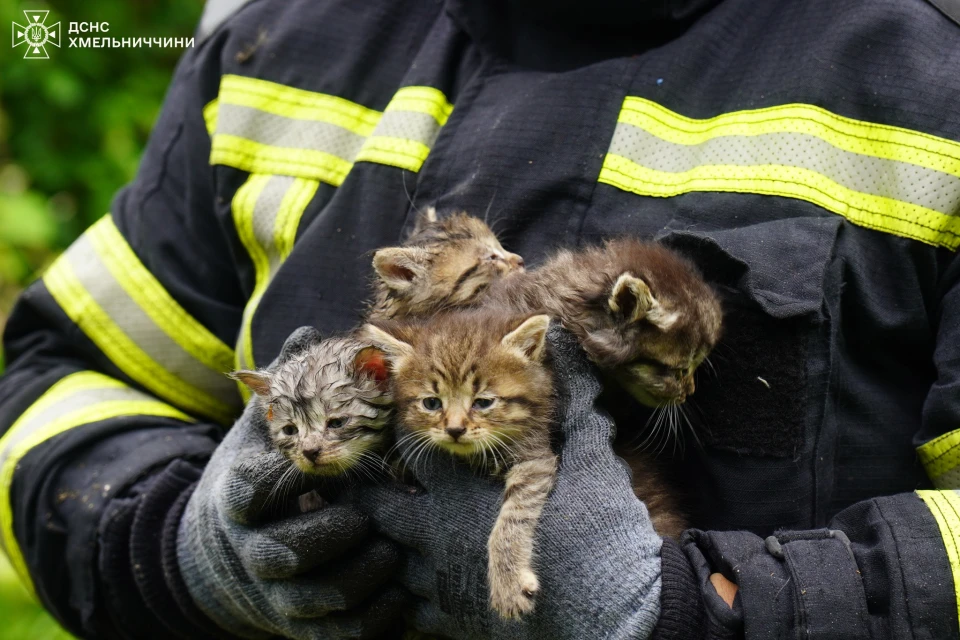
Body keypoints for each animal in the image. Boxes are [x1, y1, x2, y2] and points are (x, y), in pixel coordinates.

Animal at [362, 312, 556, 620]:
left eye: (483, 402)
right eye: (431, 403)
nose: (454, 429)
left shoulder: (535, 455)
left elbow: (514, 513)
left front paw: (508, 583)